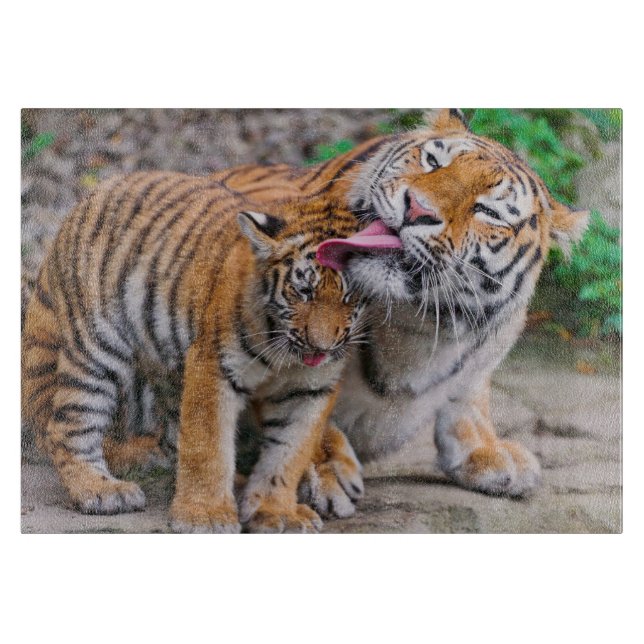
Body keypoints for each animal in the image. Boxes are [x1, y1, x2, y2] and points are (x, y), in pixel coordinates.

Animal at [21, 171, 367, 533]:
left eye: (350, 296)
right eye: (302, 291)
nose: (321, 347)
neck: (286, 352)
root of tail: (97, 191)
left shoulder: (310, 389)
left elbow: (289, 453)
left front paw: (277, 511)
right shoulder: (215, 365)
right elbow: (208, 446)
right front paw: (206, 517)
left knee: (172, 438)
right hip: (97, 349)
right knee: (68, 425)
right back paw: (100, 490)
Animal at [198, 108, 590, 508]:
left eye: (488, 212)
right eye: (433, 161)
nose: (416, 207)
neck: (413, 322)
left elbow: (468, 395)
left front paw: (487, 450)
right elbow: (299, 408)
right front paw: (326, 468)